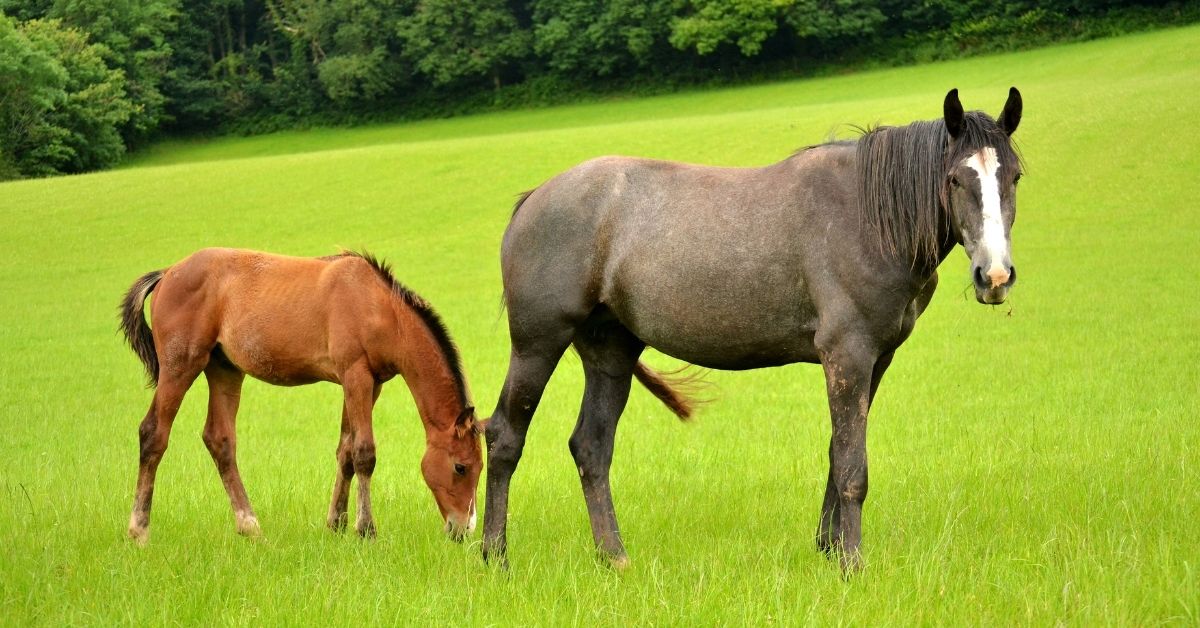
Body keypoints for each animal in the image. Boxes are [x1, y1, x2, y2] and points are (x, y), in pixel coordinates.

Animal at [118, 248, 482, 542]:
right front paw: (366, 529)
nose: (463, 529)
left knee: (220, 440)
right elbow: (364, 453)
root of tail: (168, 273)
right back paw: (139, 531)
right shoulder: (356, 376)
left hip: (224, 370)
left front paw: (336, 523)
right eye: (461, 467)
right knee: (153, 434)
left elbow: (345, 452)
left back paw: (250, 527)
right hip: (181, 366)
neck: (380, 308)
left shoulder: (367, 383)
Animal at [484, 88, 1022, 573]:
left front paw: (828, 549)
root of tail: (534, 199)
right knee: (505, 437)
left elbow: (837, 451)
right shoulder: (847, 355)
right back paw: (495, 557)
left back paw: (614, 557)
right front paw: (852, 564)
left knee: (591, 448)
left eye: (1014, 176)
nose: (994, 276)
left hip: (610, 353)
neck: (870, 218)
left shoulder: (875, 360)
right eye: (955, 178)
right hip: (537, 346)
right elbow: (853, 466)